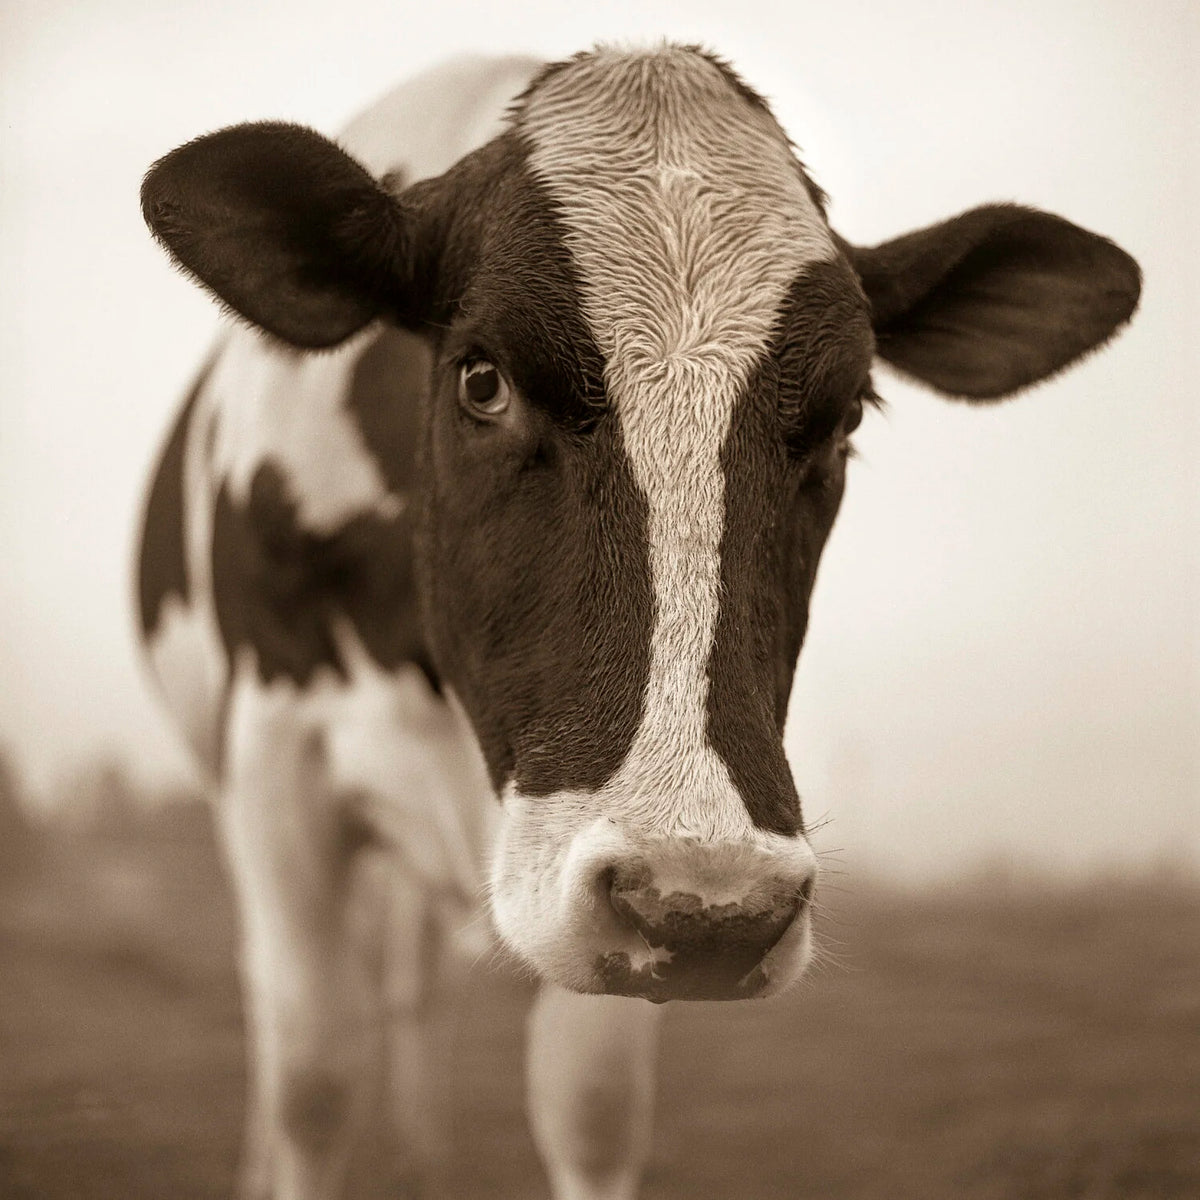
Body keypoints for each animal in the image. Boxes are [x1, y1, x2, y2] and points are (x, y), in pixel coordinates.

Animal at [137, 44, 1140, 1200]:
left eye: (844, 416)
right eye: (482, 380)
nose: (717, 904)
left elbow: (590, 1102)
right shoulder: (275, 763)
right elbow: (313, 1074)